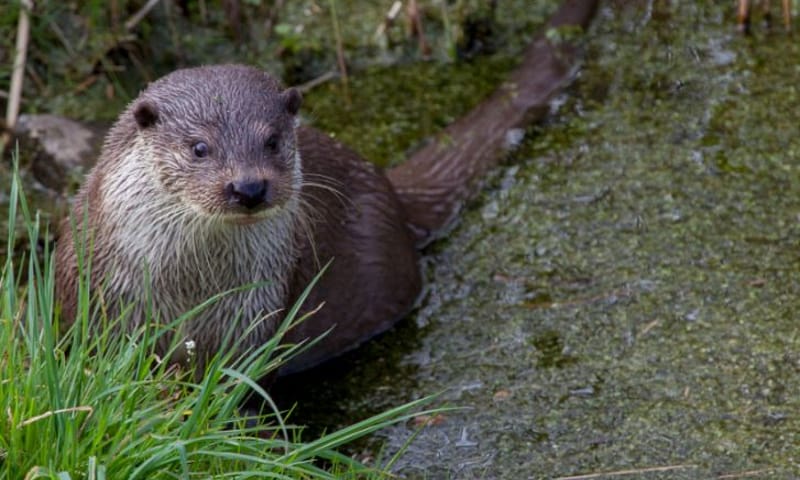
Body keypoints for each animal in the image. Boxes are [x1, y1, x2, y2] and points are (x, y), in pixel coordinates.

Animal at [54, 0, 598, 375]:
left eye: (272, 141)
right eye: (199, 148)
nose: (248, 187)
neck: (191, 289)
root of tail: (388, 189)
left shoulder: (257, 309)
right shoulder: (95, 293)